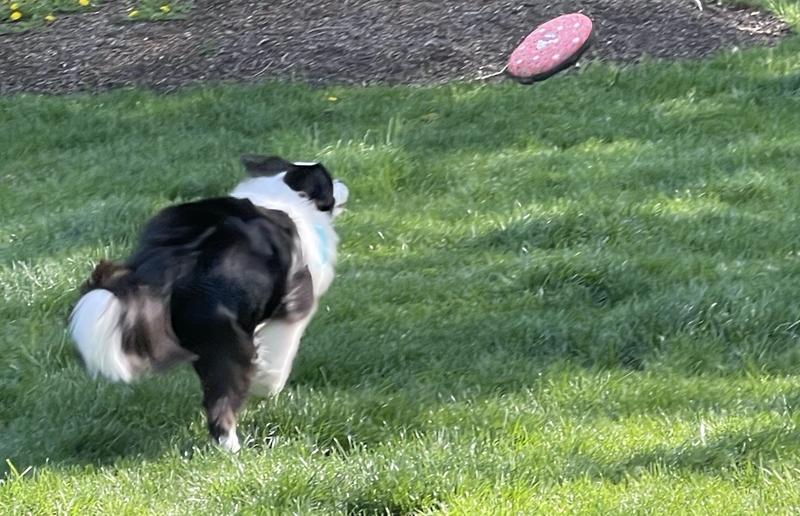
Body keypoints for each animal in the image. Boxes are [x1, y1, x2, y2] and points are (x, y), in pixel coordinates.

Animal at [68, 155, 348, 452]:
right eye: (329, 183)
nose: (343, 184)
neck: (286, 193)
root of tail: (173, 262)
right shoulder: (295, 305)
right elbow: (280, 356)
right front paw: (267, 385)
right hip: (227, 344)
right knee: (221, 406)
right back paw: (233, 449)